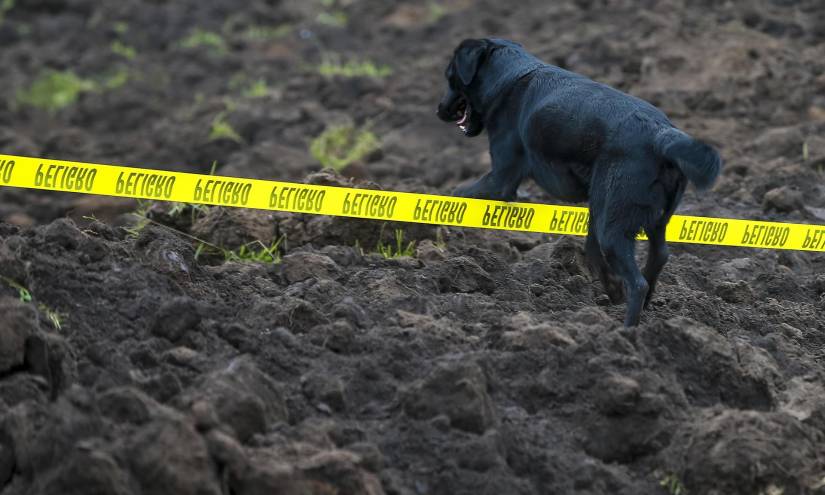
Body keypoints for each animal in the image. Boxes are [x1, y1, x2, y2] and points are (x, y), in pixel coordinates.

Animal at [437, 38, 722, 326]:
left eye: (450, 77)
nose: (439, 111)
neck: (510, 76)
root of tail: (660, 136)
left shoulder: (501, 180)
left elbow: (458, 192)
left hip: (612, 224)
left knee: (636, 282)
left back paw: (628, 330)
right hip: (632, 213)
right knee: (655, 256)